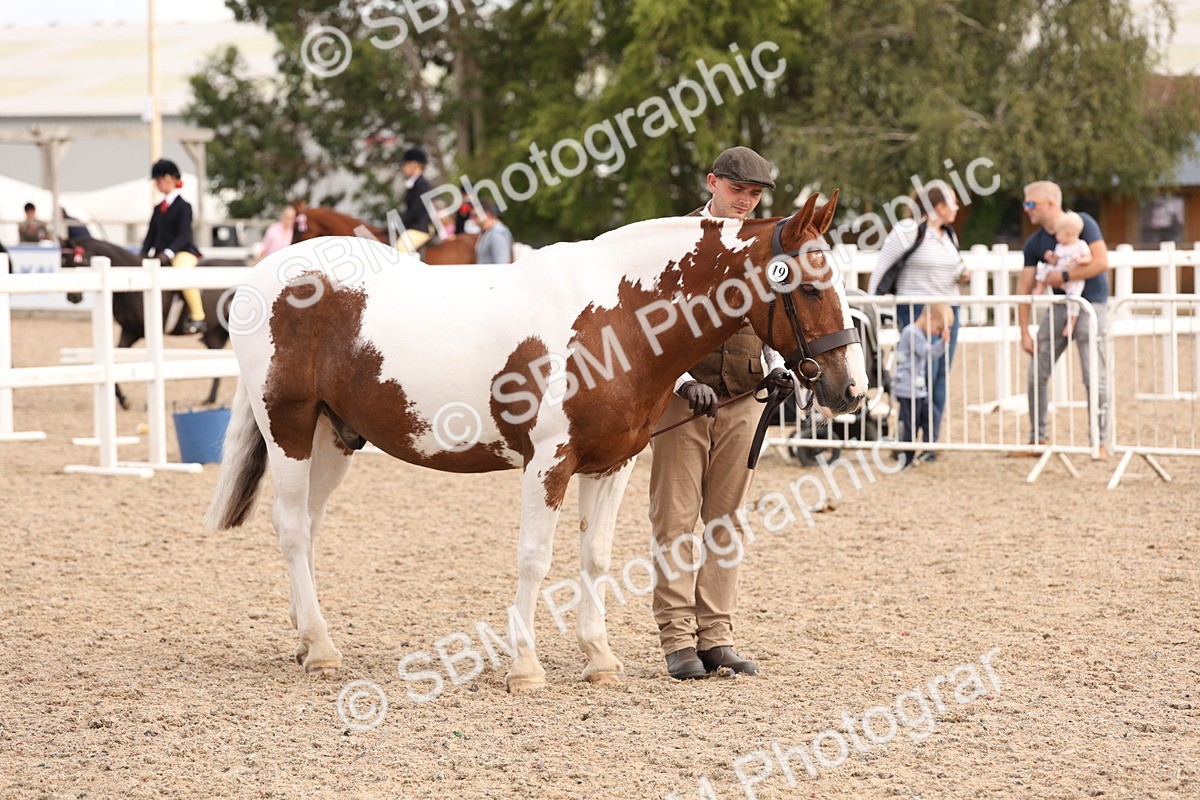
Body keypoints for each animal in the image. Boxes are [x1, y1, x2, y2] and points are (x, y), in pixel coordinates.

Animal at [62, 237, 241, 408]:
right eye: (62, 264)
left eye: (79, 263)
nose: (72, 298)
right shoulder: (130, 331)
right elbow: (117, 360)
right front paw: (123, 399)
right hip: (214, 333)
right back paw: (210, 399)